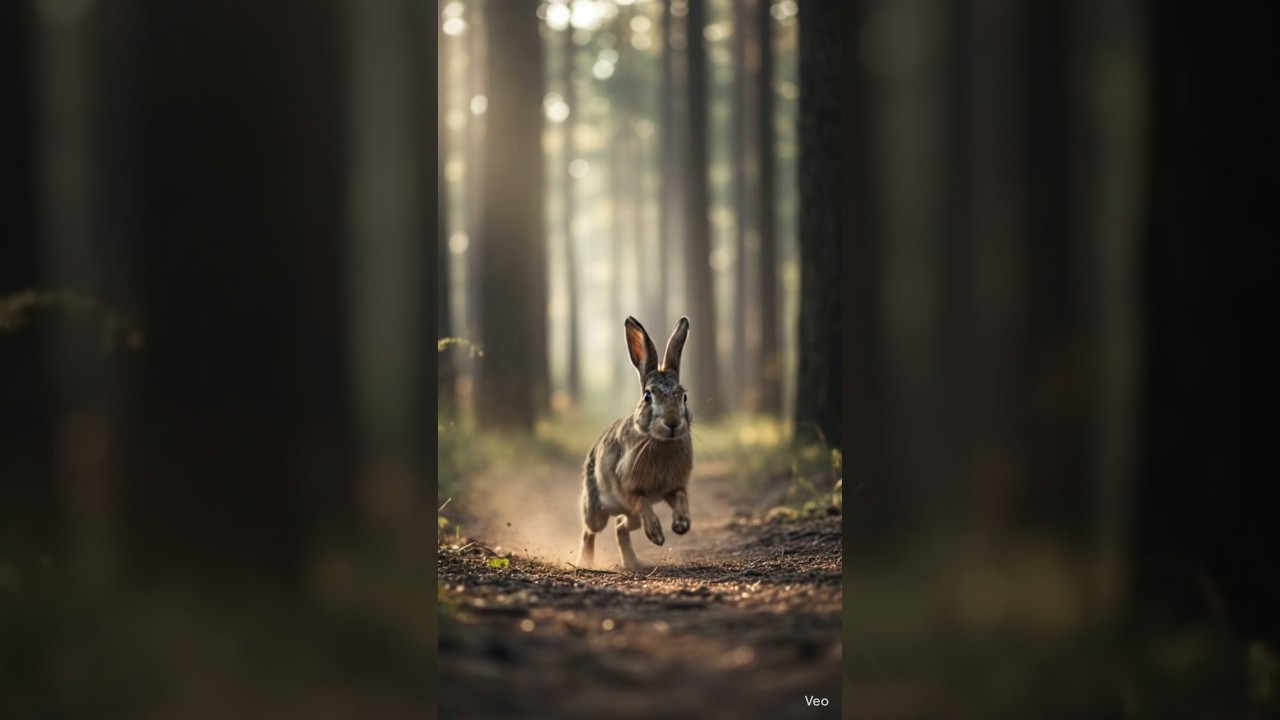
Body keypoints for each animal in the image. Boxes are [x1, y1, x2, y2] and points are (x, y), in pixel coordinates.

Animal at [577, 316, 693, 572]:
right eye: (648, 396)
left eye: (684, 396)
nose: (672, 423)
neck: (660, 442)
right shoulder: (628, 487)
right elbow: (641, 501)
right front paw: (657, 535)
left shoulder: (673, 487)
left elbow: (682, 496)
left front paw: (681, 524)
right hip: (597, 510)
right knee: (590, 530)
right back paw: (585, 561)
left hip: (629, 517)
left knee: (620, 526)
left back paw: (632, 562)